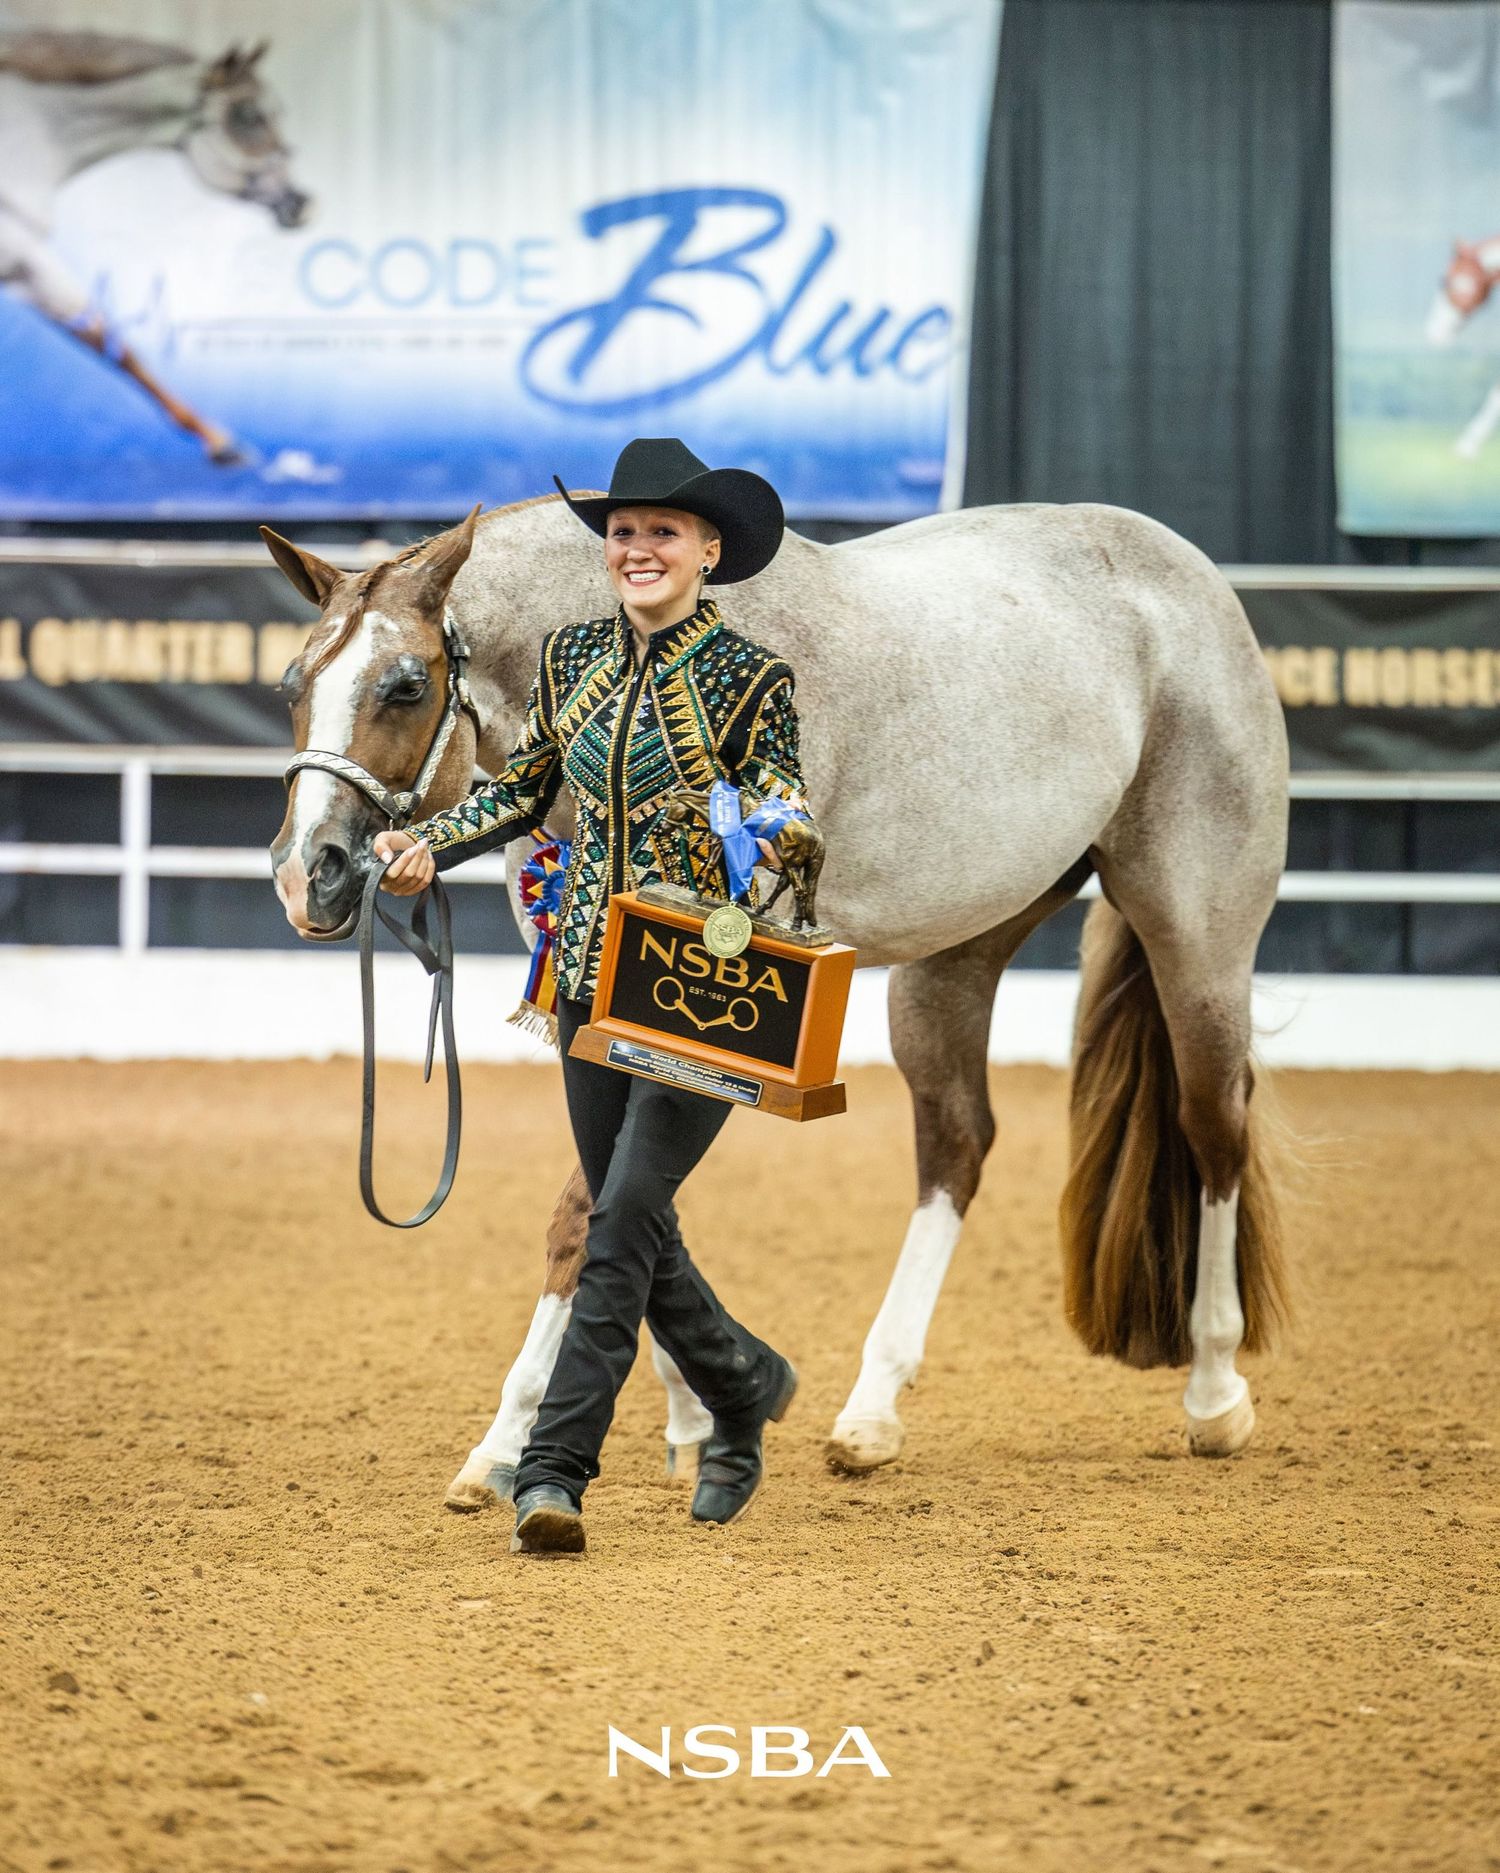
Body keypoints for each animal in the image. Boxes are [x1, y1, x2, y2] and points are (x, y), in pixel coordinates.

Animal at [0, 31, 311, 464]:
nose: (303, 203)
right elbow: (108, 338)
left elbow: (110, 342)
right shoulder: (24, 253)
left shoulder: (23, 266)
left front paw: (216, 441)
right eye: (249, 115)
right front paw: (219, 440)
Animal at [263, 492, 1293, 1506]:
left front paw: (506, 1444)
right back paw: (872, 1414)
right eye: (293, 683)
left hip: (1196, 933)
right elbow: (632, 1201)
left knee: (1215, 1126)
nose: (308, 874)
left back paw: (1215, 1392)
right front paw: (696, 1423)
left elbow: (590, 1212)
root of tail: (1193, 583)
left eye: (405, 684)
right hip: (959, 951)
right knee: (957, 1144)